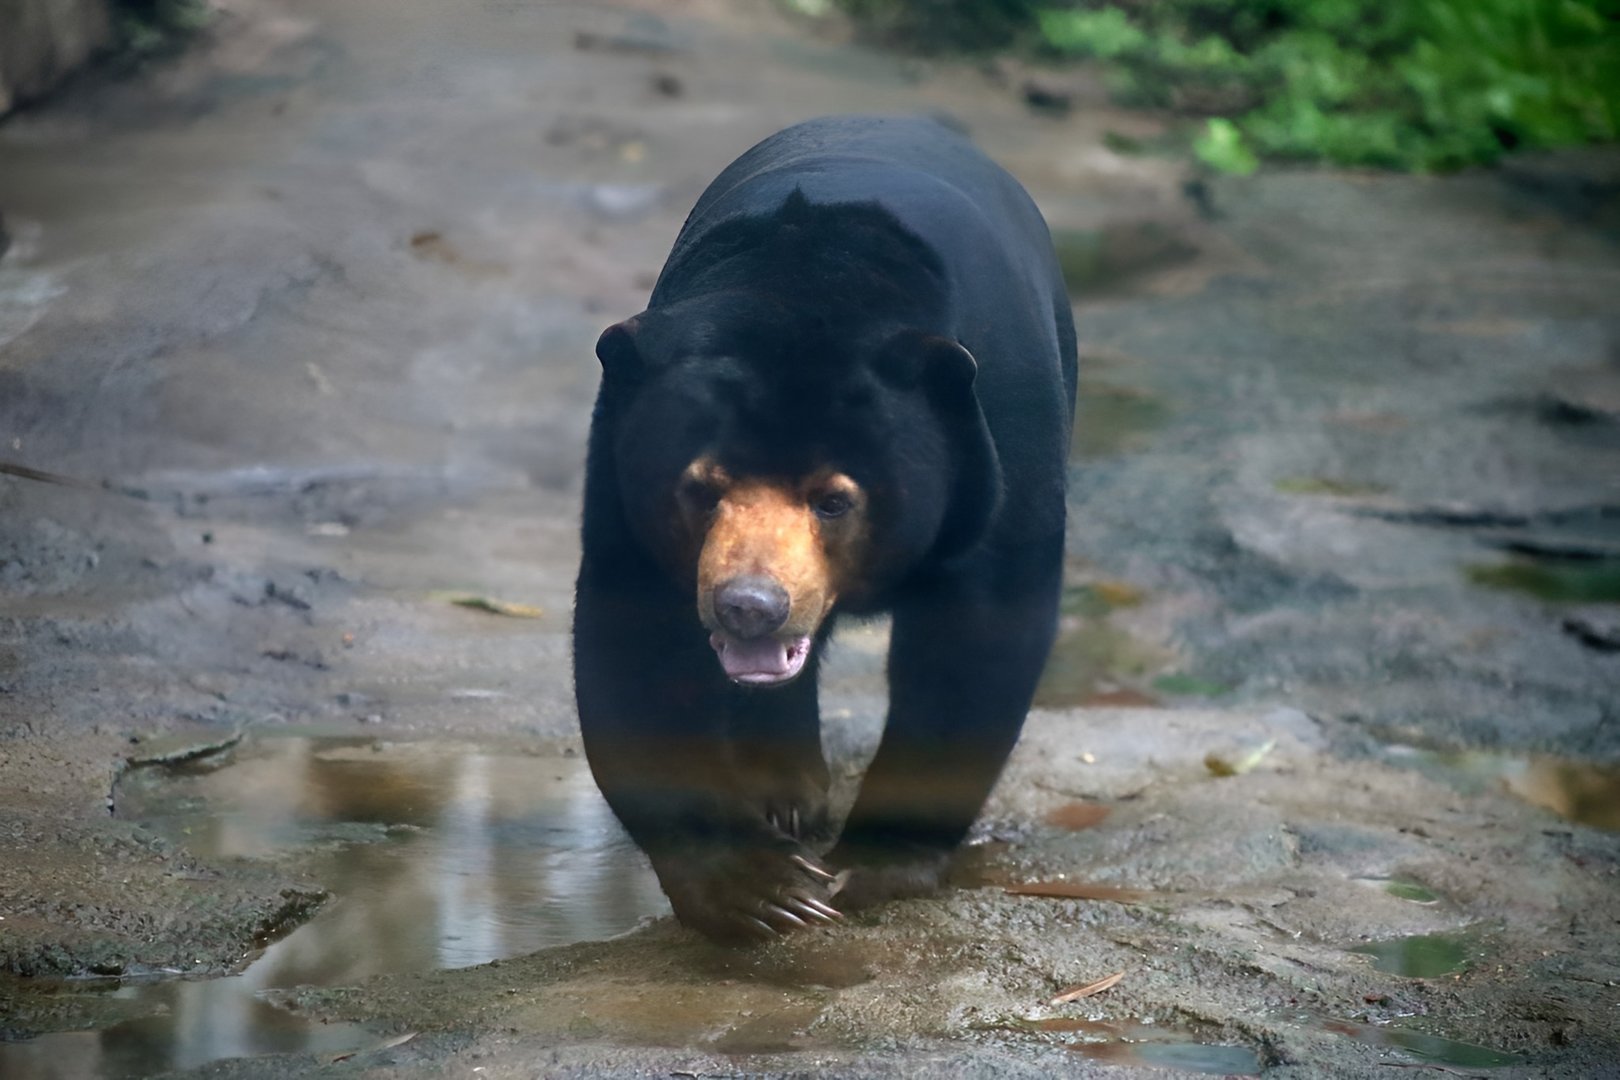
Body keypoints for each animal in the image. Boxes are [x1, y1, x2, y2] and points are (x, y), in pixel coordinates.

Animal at [575, 115, 1076, 943]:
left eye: (835, 500)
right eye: (700, 489)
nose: (750, 605)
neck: (808, 278)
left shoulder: (1000, 437)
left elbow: (981, 632)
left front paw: (871, 867)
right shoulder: (620, 452)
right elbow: (635, 631)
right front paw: (759, 886)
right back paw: (785, 789)